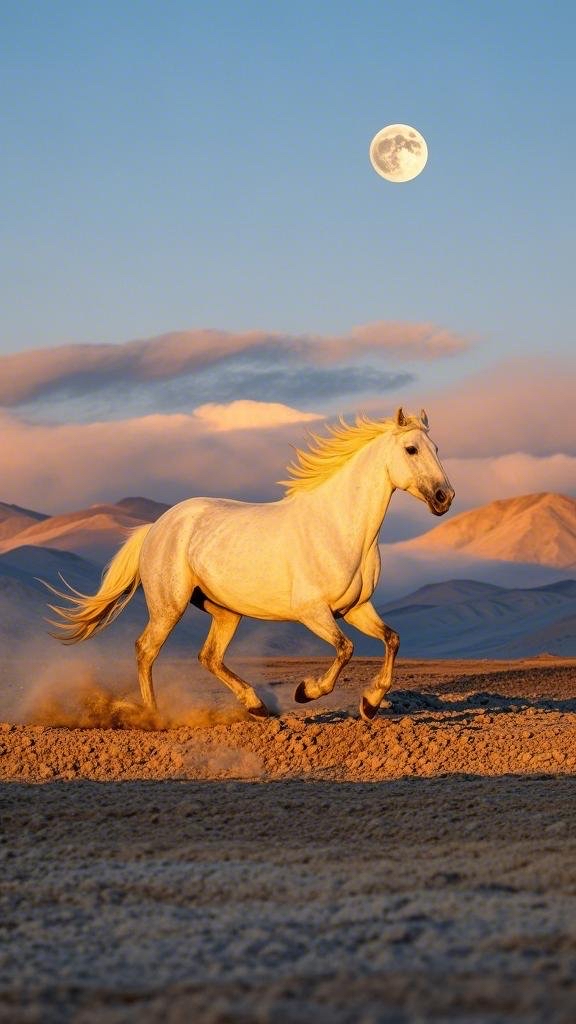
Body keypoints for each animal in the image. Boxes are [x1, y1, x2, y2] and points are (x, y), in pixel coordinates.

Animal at [47, 407, 454, 721]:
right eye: (411, 449)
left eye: (436, 447)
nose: (444, 497)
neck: (338, 527)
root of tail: (156, 527)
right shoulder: (311, 612)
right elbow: (346, 649)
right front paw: (306, 691)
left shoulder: (355, 608)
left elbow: (392, 639)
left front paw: (369, 704)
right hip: (168, 605)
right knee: (146, 649)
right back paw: (154, 716)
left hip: (226, 611)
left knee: (209, 657)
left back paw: (256, 706)